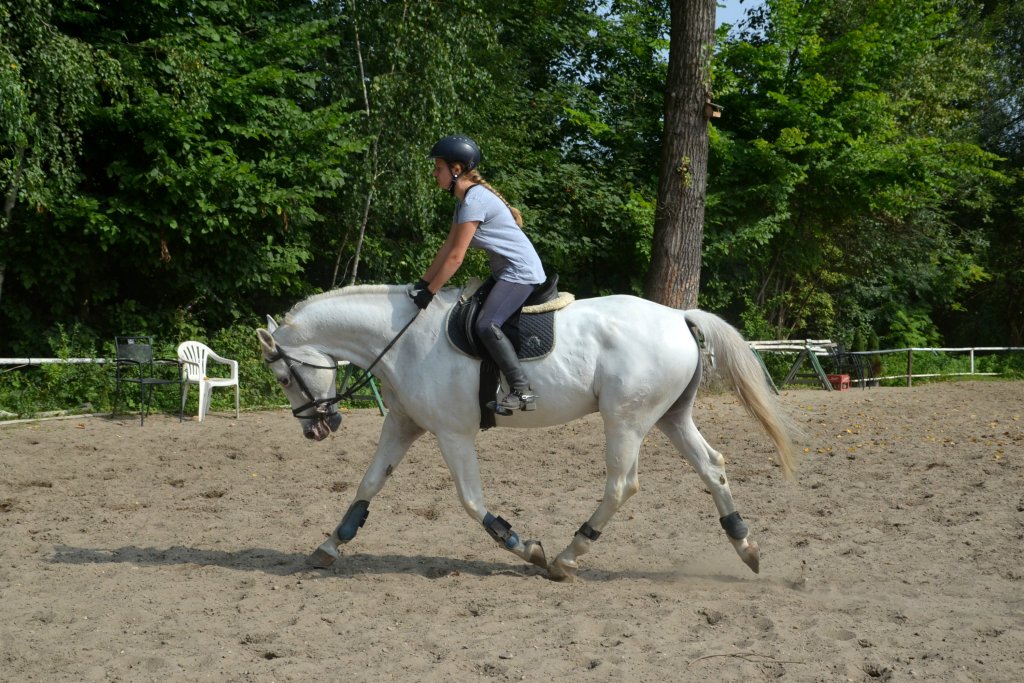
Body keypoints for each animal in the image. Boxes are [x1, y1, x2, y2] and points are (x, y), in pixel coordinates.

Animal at [258, 284, 798, 581]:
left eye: (283, 378)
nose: (317, 428)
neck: (402, 340)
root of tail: (678, 316)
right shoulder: (403, 424)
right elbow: (368, 484)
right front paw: (329, 546)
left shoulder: (454, 434)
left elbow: (472, 501)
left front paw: (525, 547)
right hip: (671, 417)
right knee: (712, 465)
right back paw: (745, 546)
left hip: (626, 420)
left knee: (622, 484)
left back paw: (566, 556)